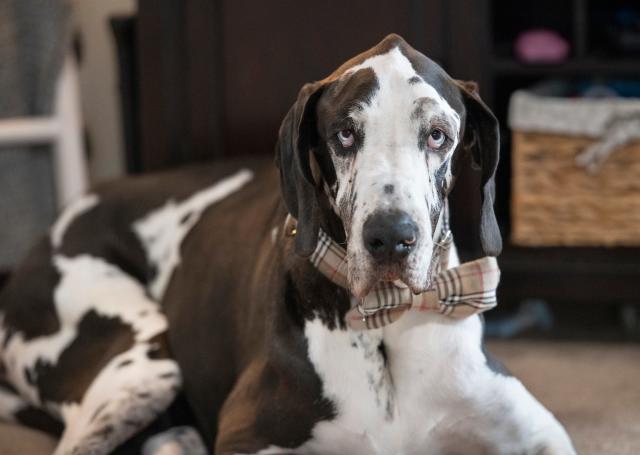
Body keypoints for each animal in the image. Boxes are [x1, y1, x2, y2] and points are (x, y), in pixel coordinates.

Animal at [0, 33, 576, 454]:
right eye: (344, 133)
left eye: (438, 134)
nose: (392, 237)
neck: (387, 324)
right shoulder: (247, 436)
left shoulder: (538, 433)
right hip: (141, 361)